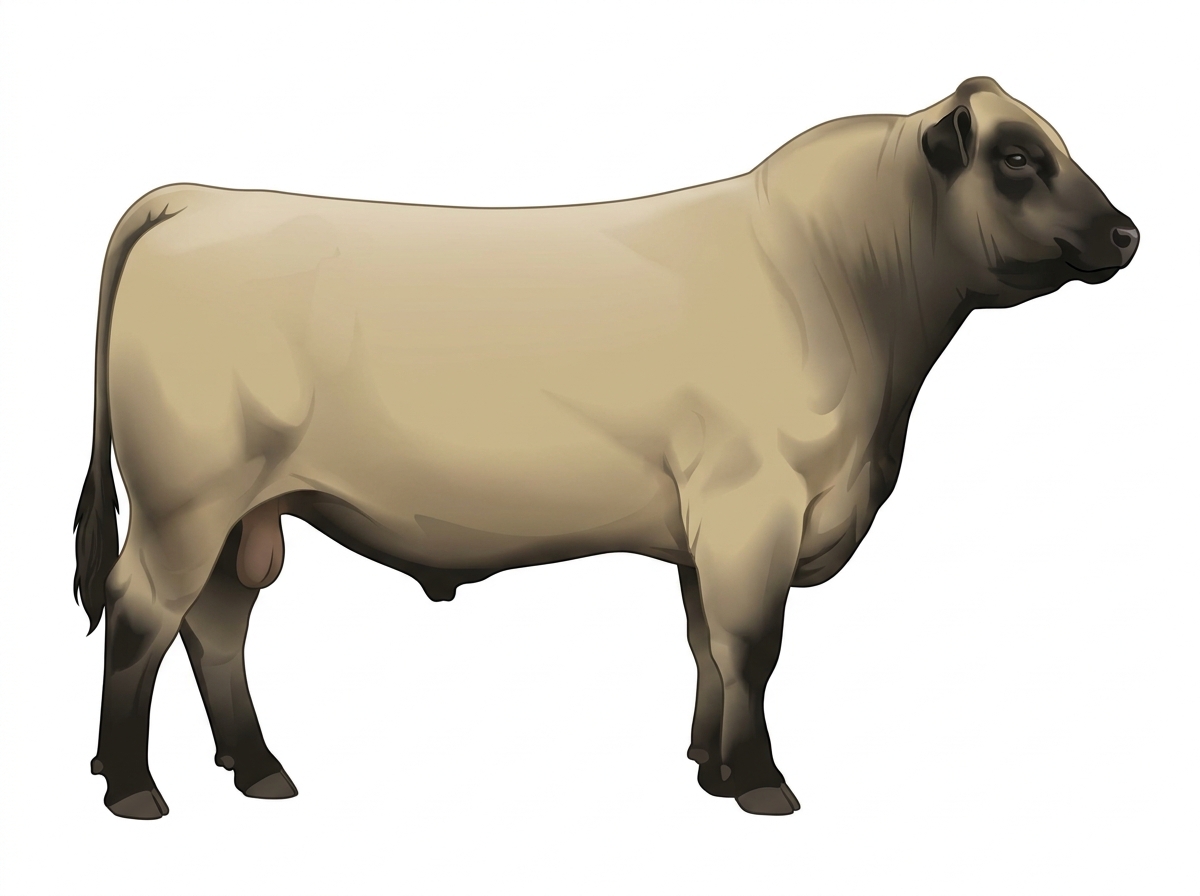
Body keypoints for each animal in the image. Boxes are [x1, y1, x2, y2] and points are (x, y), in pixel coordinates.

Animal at [74, 77, 1137, 819]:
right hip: (187, 498)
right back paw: (133, 789)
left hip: (242, 510)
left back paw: (257, 769)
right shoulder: (754, 507)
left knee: (217, 624)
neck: (846, 278)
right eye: (1017, 156)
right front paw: (762, 783)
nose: (1127, 233)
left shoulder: (710, 527)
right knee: (144, 613)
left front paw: (712, 769)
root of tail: (199, 197)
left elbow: (709, 647)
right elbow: (753, 647)